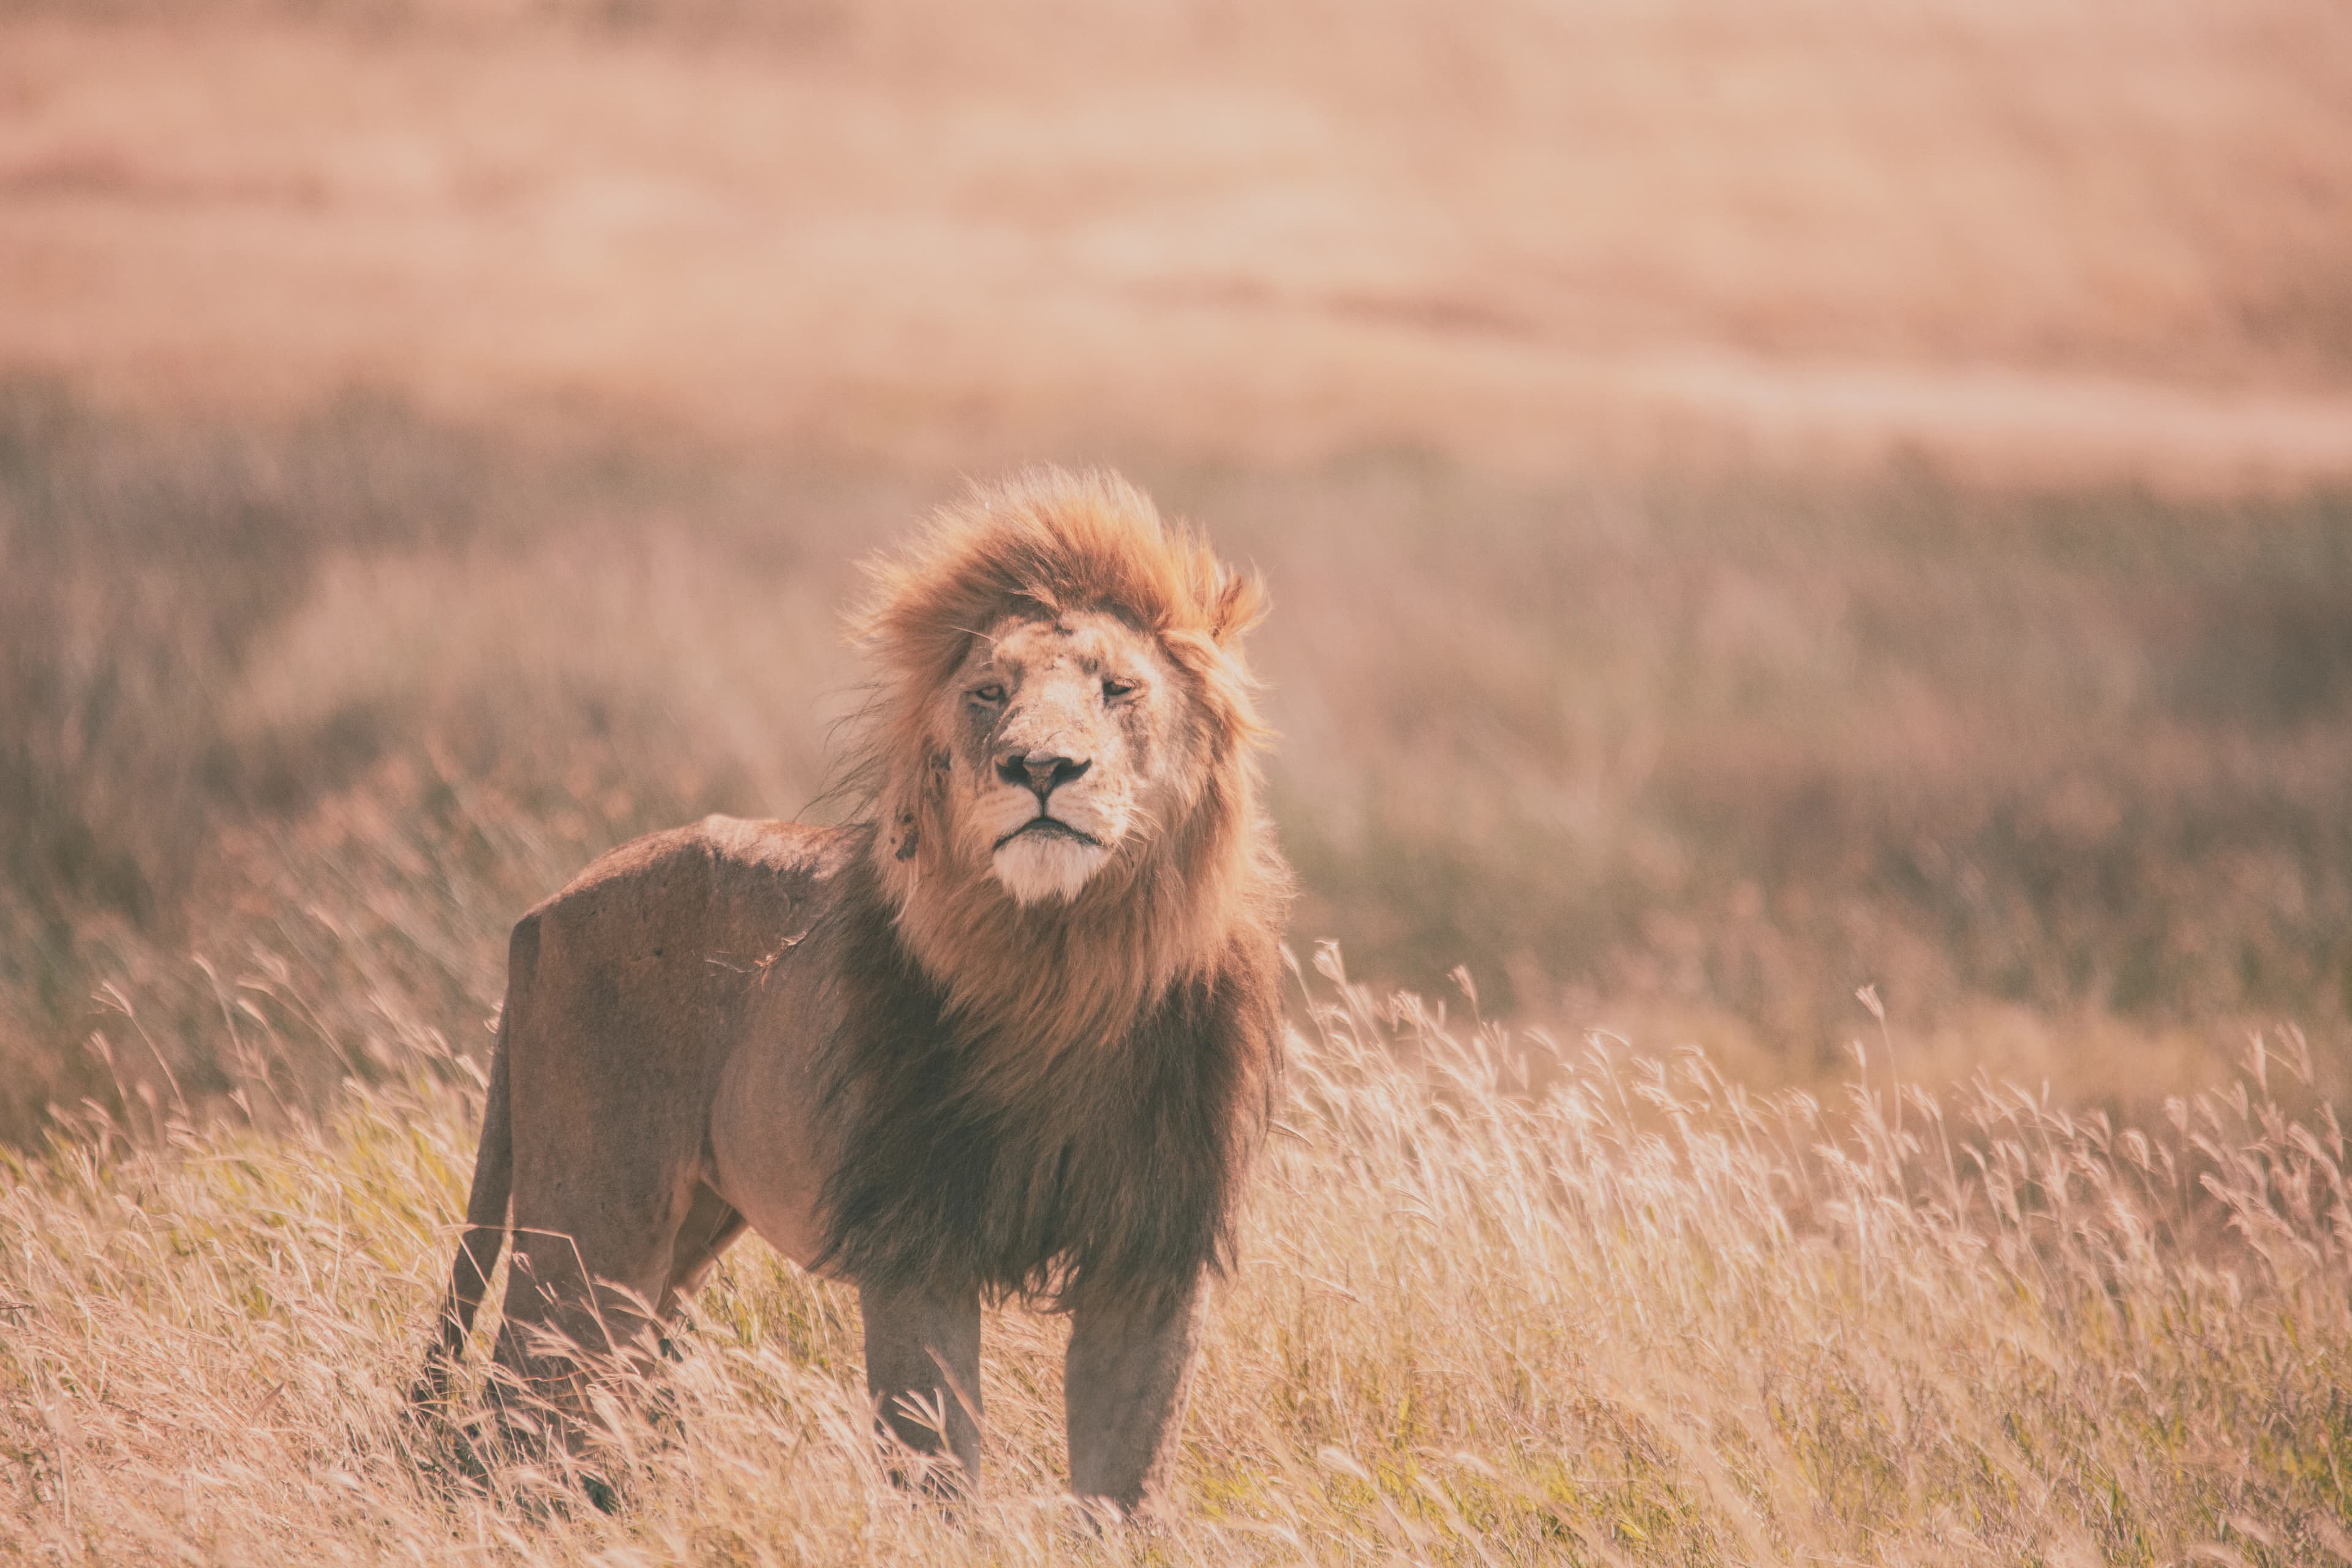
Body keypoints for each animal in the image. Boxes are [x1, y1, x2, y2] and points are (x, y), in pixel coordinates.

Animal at [415, 467, 1290, 1518]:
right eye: (989, 694)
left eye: (1119, 688)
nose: (1041, 768)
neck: (1063, 968)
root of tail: (541, 909)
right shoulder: (918, 1240)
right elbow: (936, 1466)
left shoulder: (1153, 1252)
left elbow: (1124, 1485)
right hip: (594, 1223)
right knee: (515, 1413)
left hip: (686, 1231)